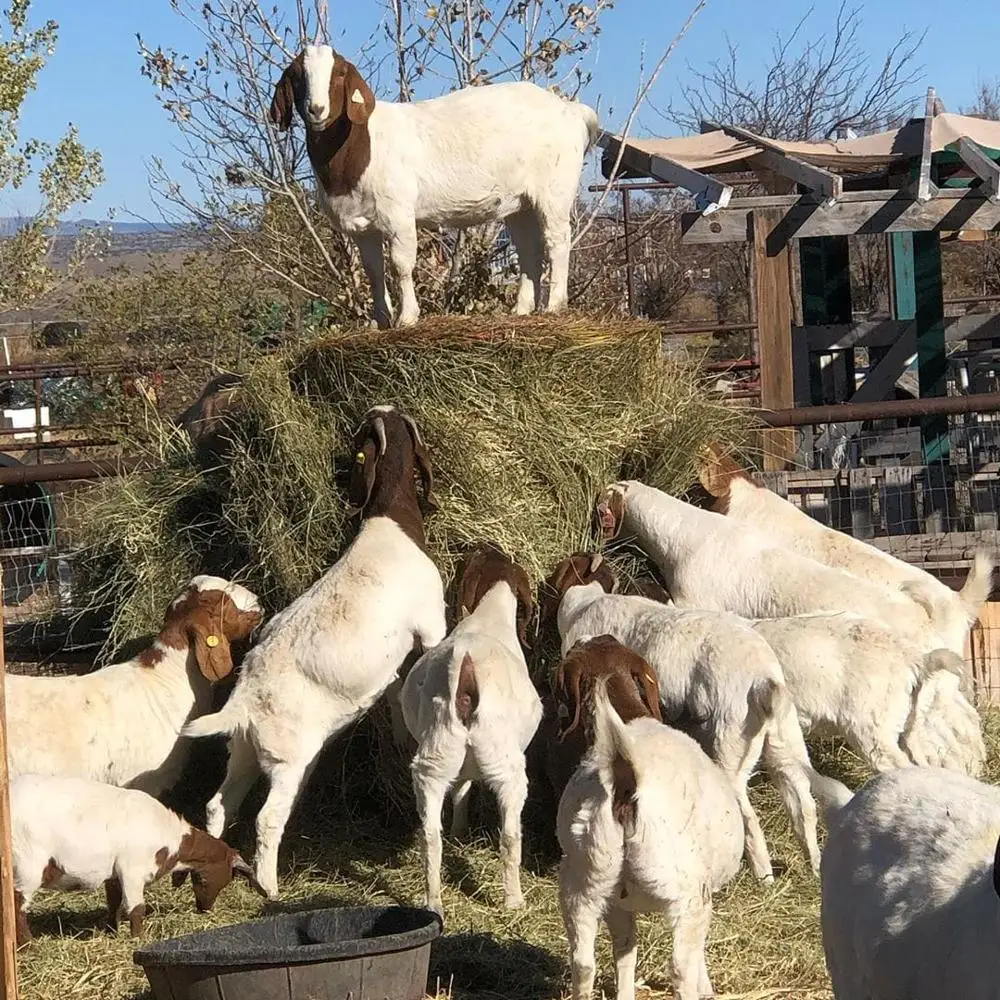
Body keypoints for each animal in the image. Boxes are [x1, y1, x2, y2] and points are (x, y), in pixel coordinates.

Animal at [11, 773, 266, 945]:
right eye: (204, 880)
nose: (205, 909)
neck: (170, 837)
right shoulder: (131, 870)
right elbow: (136, 908)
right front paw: (139, 939)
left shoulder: (114, 873)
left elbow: (114, 902)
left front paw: (112, 932)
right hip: (28, 862)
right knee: (17, 904)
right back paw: (28, 944)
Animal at [183, 405, 447, 898]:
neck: (392, 522)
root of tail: (244, 701)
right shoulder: (430, 622)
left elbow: (398, 687)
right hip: (288, 760)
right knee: (267, 818)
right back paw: (269, 886)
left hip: (245, 750)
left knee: (217, 804)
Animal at [269, 45, 600, 328]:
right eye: (296, 75)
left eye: (339, 73)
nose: (316, 109)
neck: (361, 145)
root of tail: (571, 110)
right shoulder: (363, 228)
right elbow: (374, 271)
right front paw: (380, 322)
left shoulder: (398, 214)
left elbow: (401, 265)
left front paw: (407, 318)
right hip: (520, 202)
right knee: (529, 248)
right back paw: (521, 309)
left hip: (554, 189)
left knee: (558, 240)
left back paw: (554, 305)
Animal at [401, 542, 541, 915]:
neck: (489, 614)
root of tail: (466, 672)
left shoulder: (459, 765)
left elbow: (462, 790)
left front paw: (460, 831)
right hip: (507, 767)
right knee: (510, 835)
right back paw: (514, 900)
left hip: (434, 762)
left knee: (431, 837)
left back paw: (433, 902)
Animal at [556, 643, 744, 1000]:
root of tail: (625, 778)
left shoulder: (618, 904)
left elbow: (625, 951)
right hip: (685, 892)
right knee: (681, 967)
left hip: (584, 882)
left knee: (583, 963)